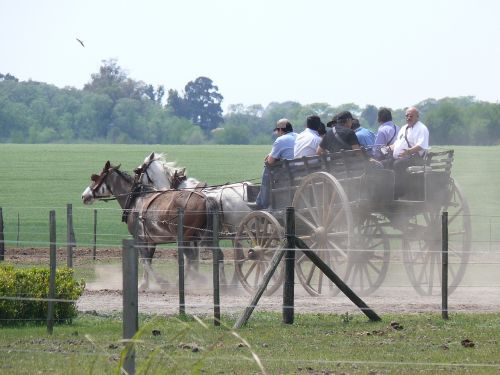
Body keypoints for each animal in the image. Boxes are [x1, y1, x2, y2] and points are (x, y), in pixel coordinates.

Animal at [80, 162, 217, 290]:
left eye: (96, 178)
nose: (84, 196)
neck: (135, 199)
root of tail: (205, 199)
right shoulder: (150, 240)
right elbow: (148, 260)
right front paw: (144, 284)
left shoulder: (139, 238)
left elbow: (145, 261)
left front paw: (161, 282)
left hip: (184, 238)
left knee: (190, 259)